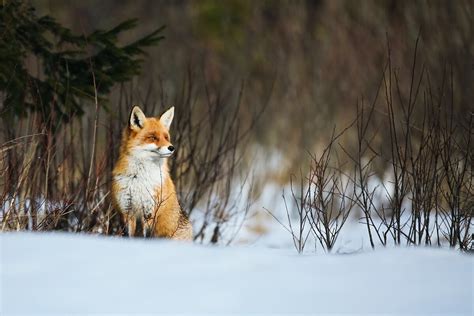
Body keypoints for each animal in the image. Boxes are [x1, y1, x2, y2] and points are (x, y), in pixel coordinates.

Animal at [111, 105, 193, 239]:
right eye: (153, 137)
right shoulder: (127, 211)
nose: (172, 148)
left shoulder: (150, 212)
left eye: (166, 137)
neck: (140, 178)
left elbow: (147, 236)